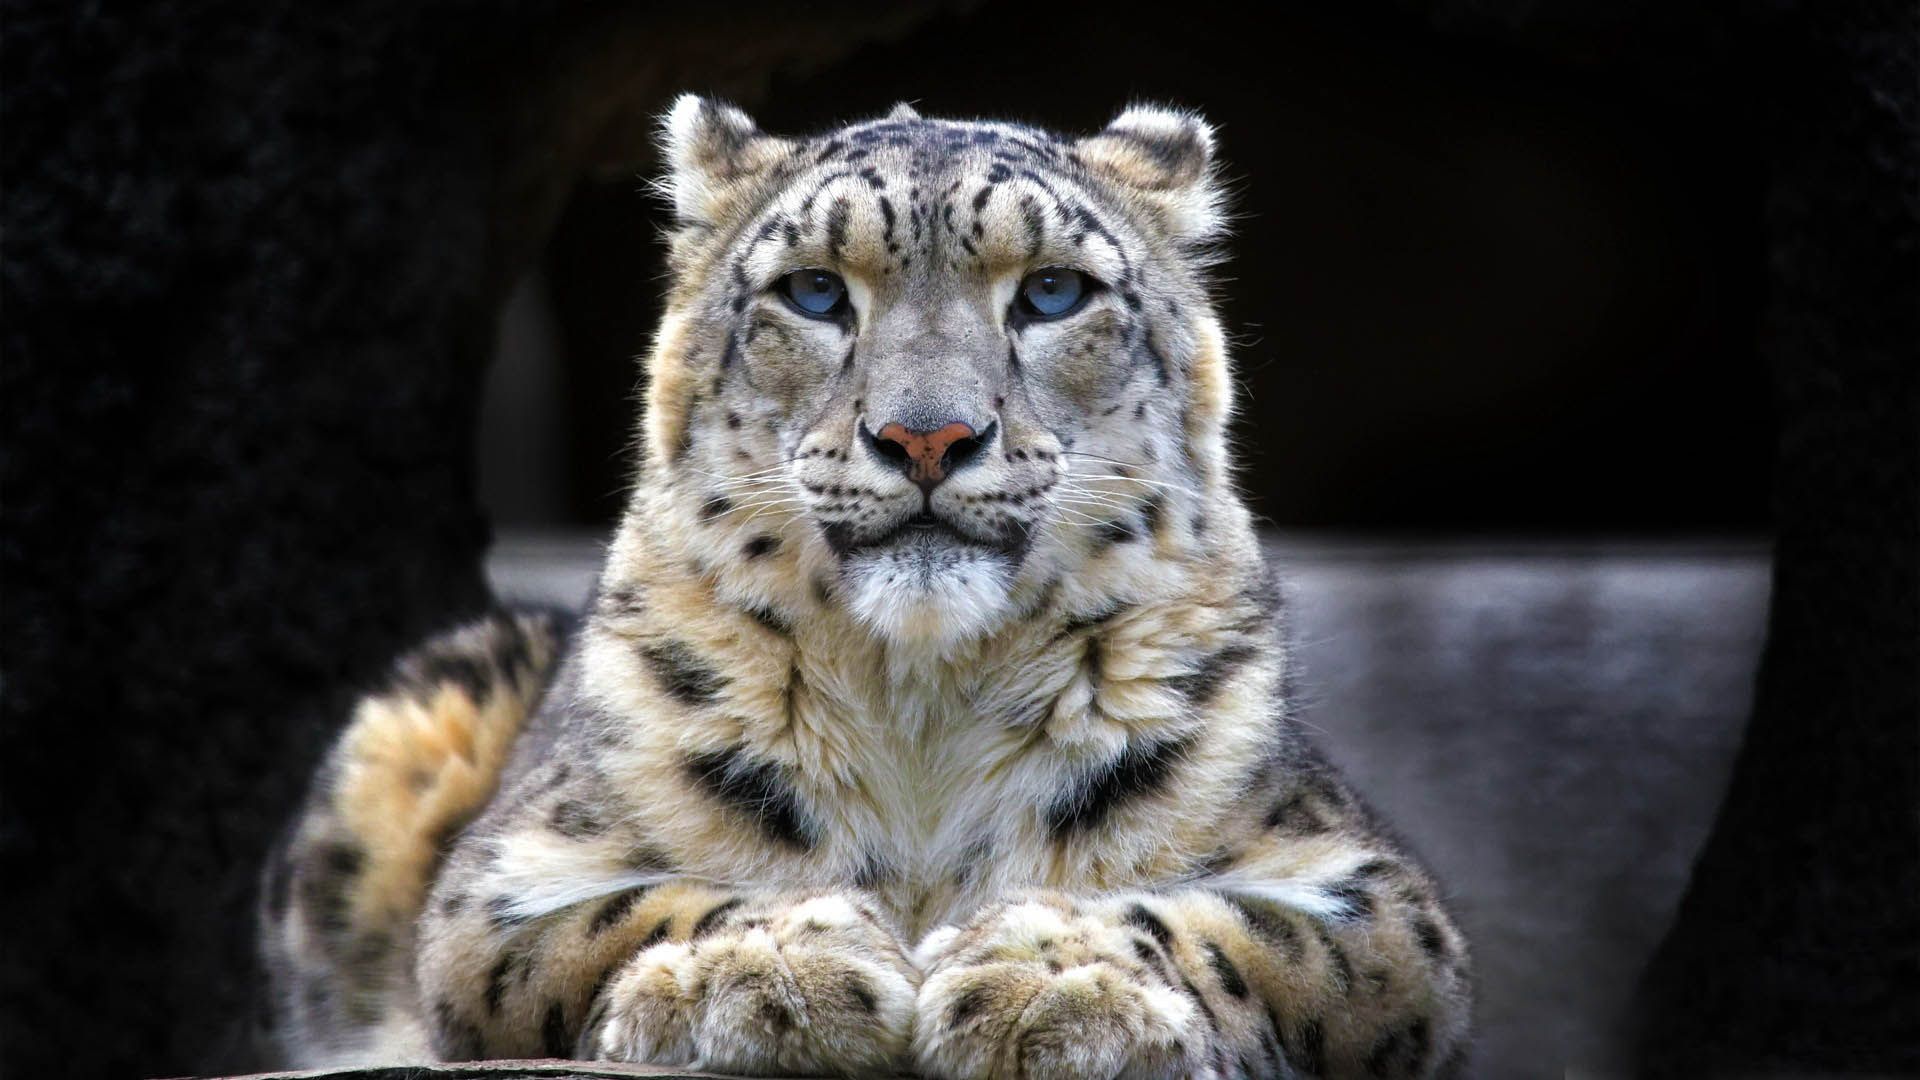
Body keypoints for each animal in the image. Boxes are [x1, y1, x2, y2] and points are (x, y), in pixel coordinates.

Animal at [258, 95, 1472, 1078]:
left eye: (1052, 292)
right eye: (812, 292)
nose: (926, 436)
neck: (923, 706)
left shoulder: (1370, 890)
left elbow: (1239, 925)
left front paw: (1049, 974)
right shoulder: (507, 877)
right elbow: (628, 910)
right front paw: (774, 964)